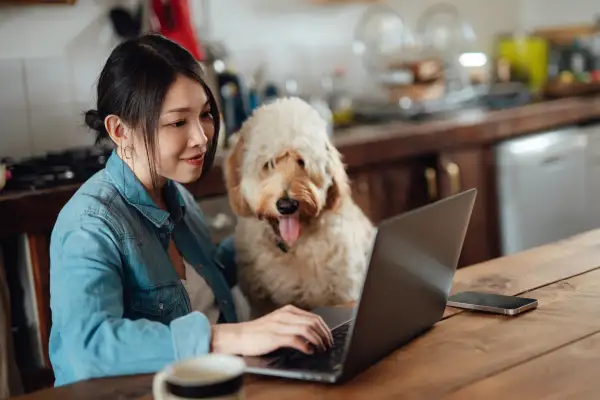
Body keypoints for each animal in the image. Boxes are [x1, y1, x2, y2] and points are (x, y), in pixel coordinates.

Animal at [225, 97, 376, 318]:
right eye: (269, 164)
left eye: (302, 162)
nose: (287, 205)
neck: (293, 247)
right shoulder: (261, 304)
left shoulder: (343, 293)